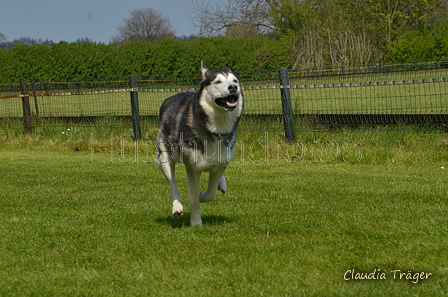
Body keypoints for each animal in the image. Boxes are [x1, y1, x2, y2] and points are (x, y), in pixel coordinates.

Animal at [156, 61, 243, 225]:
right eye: (217, 82)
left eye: (235, 81)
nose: (233, 87)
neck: (215, 130)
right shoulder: (192, 168)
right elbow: (193, 199)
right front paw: (196, 222)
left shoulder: (221, 164)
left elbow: (210, 193)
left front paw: (203, 195)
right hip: (164, 156)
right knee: (172, 184)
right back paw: (177, 206)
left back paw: (221, 184)